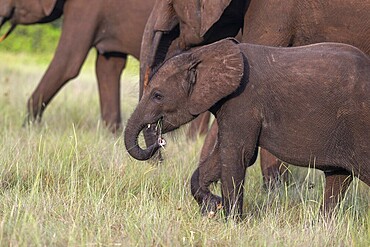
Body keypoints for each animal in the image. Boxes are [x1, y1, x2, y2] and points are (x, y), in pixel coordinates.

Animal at [125, 37, 370, 217]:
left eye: (157, 95)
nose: (159, 142)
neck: (205, 53)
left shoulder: (242, 101)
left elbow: (237, 154)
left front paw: (232, 221)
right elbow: (221, 156)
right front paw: (213, 206)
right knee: (338, 178)